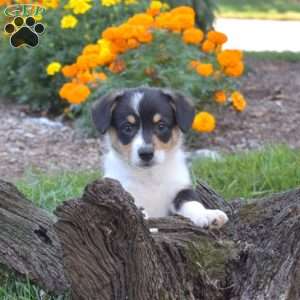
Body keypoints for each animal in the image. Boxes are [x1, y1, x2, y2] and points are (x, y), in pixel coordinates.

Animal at [91, 86, 227, 227]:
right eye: (127, 128)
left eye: (161, 126)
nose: (146, 153)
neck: (150, 177)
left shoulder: (180, 188)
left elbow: (191, 201)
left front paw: (207, 214)